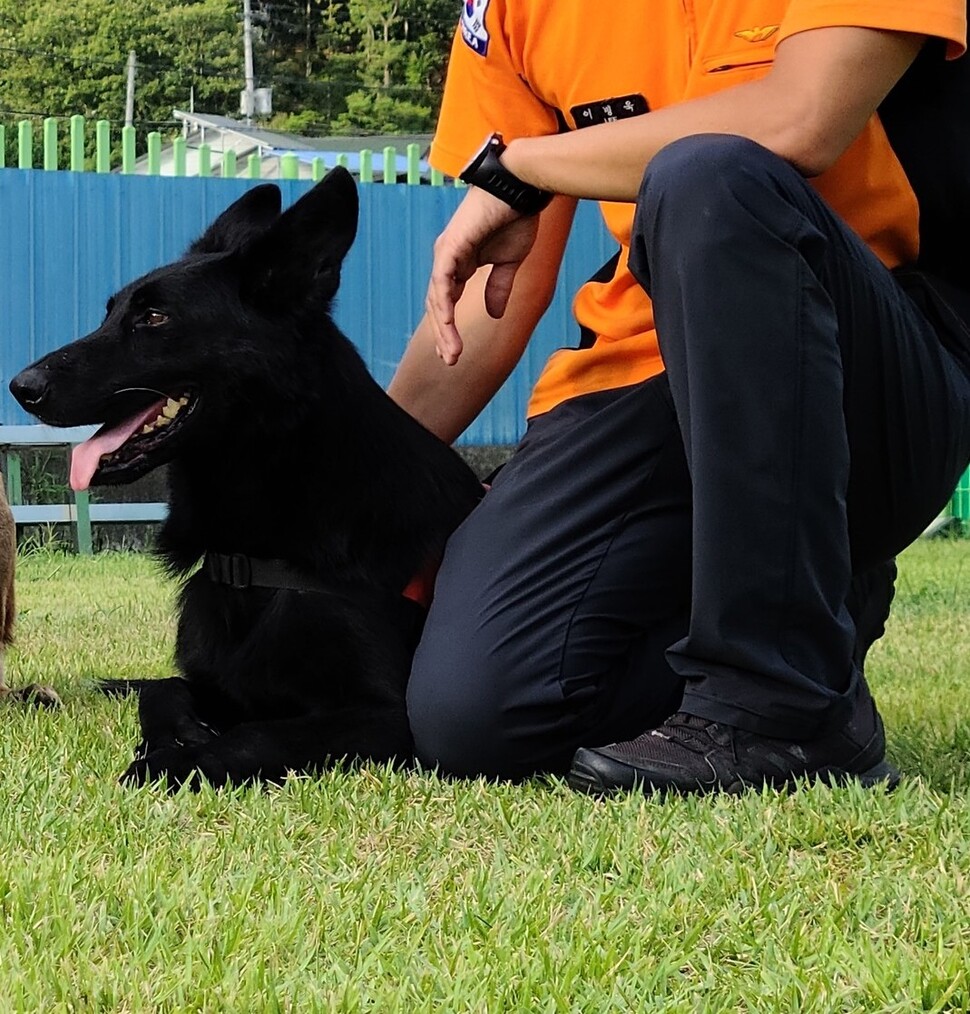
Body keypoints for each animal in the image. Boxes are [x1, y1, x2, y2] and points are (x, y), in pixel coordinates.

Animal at [9, 168, 482, 782]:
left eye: (154, 318)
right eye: (109, 312)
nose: (22, 387)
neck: (252, 560)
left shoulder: (390, 717)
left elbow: (260, 734)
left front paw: (175, 760)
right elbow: (162, 689)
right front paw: (179, 731)